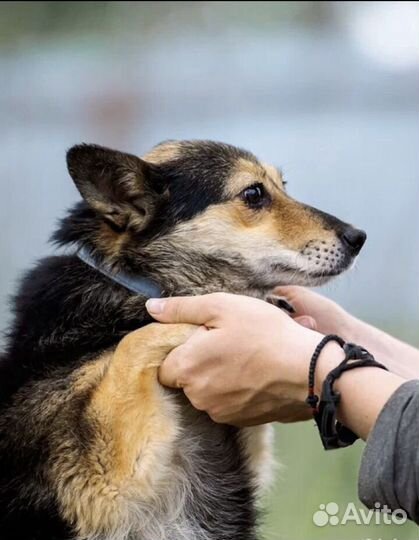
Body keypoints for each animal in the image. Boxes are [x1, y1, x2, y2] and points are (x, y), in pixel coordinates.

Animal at [0, 140, 368, 540]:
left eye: (282, 185)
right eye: (254, 193)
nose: (359, 238)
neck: (130, 283)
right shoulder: (103, 487)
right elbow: (138, 340)